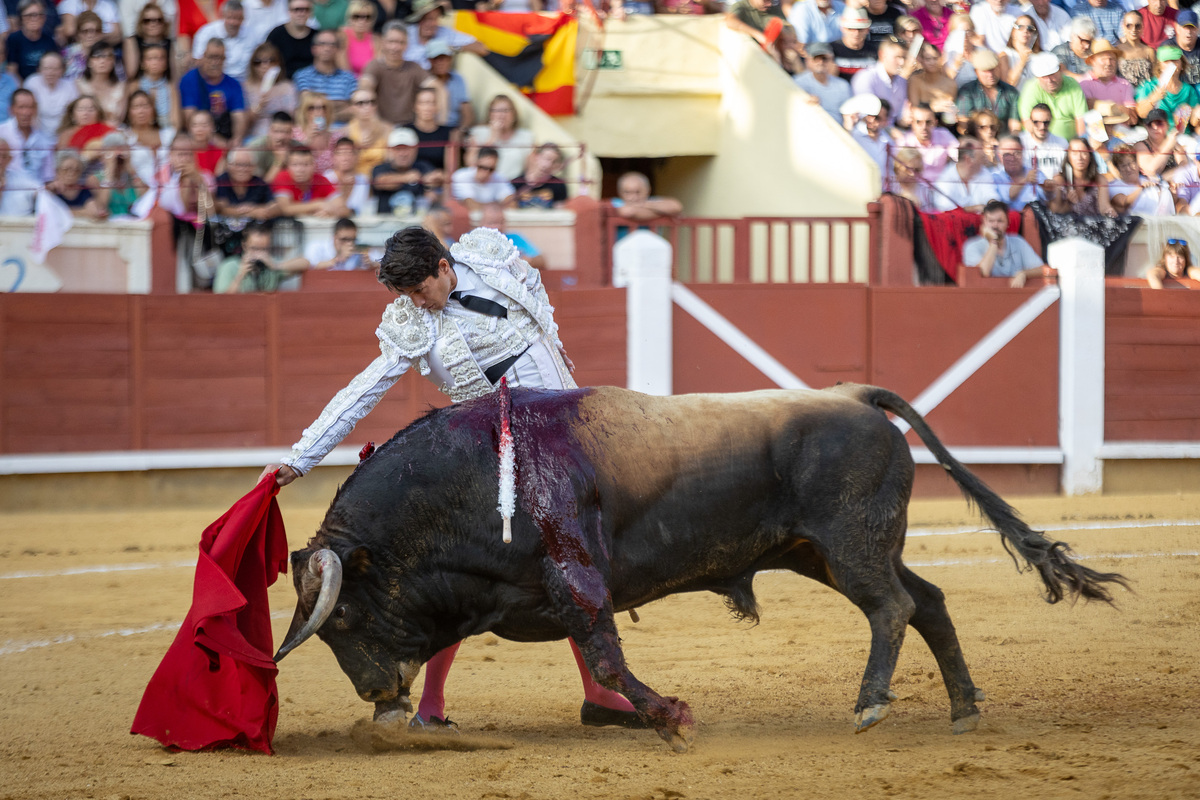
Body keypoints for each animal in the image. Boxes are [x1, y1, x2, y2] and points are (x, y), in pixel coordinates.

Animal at [276, 383, 1128, 753]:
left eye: (340, 616)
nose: (373, 693)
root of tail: (853, 395)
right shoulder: (522, 593)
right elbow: (584, 657)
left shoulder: (575, 579)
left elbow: (608, 659)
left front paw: (671, 717)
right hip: (827, 551)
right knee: (930, 601)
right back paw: (962, 708)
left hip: (850, 546)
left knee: (892, 607)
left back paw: (869, 705)